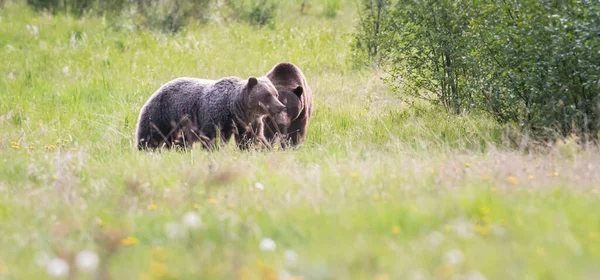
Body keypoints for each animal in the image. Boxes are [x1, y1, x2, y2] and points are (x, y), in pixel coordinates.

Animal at [136, 76, 286, 151]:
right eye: (267, 95)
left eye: (276, 94)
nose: (281, 106)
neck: (236, 109)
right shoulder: (216, 116)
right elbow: (213, 137)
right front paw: (214, 149)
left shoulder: (249, 122)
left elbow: (251, 138)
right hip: (163, 114)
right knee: (151, 135)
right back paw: (145, 149)